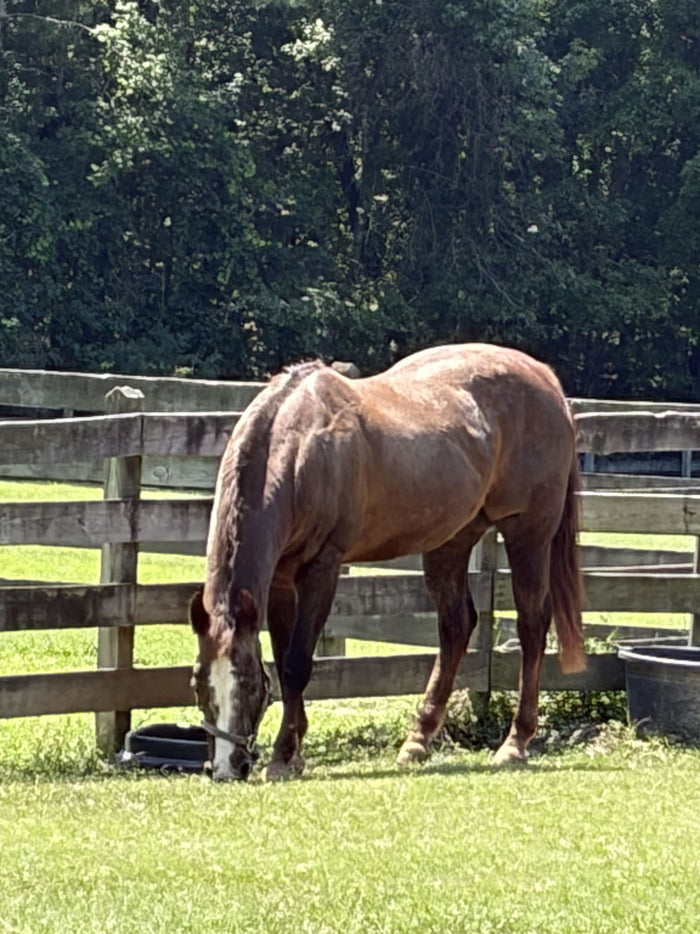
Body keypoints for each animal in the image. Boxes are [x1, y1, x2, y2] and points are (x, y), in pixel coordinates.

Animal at [190, 343, 585, 781]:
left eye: (247, 684)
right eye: (197, 684)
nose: (226, 768)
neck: (297, 447)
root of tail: (545, 378)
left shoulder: (321, 570)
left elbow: (296, 664)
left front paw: (281, 757)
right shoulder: (279, 579)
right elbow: (284, 660)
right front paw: (294, 752)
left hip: (528, 533)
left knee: (532, 624)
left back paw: (515, 743)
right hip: (452, 539)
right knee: (456, 627)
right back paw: (418, 740)